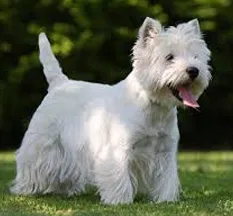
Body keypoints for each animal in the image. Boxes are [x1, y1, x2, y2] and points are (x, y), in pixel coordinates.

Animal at [10, 17, 211, 204]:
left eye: (195, 57)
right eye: (169, 57)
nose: (194, 70)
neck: (154, 108)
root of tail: (60, 83)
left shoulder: (166, 151)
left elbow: (166, 178)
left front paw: (165, 200)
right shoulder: (117, 149)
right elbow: (119, 175)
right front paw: (120, 201)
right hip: (43, 140)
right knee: (31, 162)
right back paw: (25, 189)